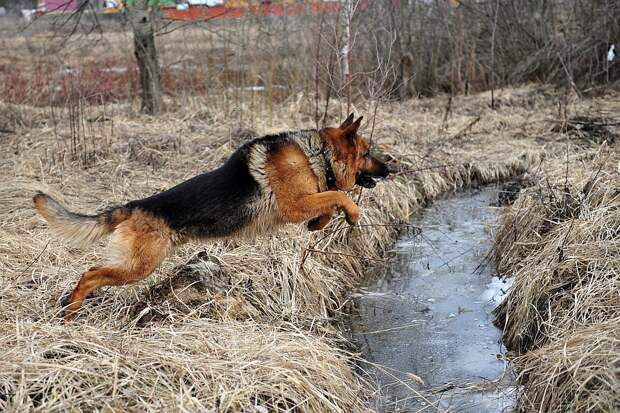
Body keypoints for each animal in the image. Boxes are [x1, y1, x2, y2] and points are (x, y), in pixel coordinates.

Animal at [34, 113, 388, 318]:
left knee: (93, 271)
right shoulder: (294, 205)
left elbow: (329, 202)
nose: (391, 168)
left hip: (135, 264)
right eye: (368, 153)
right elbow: (339, 195)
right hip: (138, 266)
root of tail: (135, 205)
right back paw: (71, 313)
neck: (318, 155)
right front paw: (352, 214)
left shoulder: (304, 202)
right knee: (90, 274)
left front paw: (319, 223)